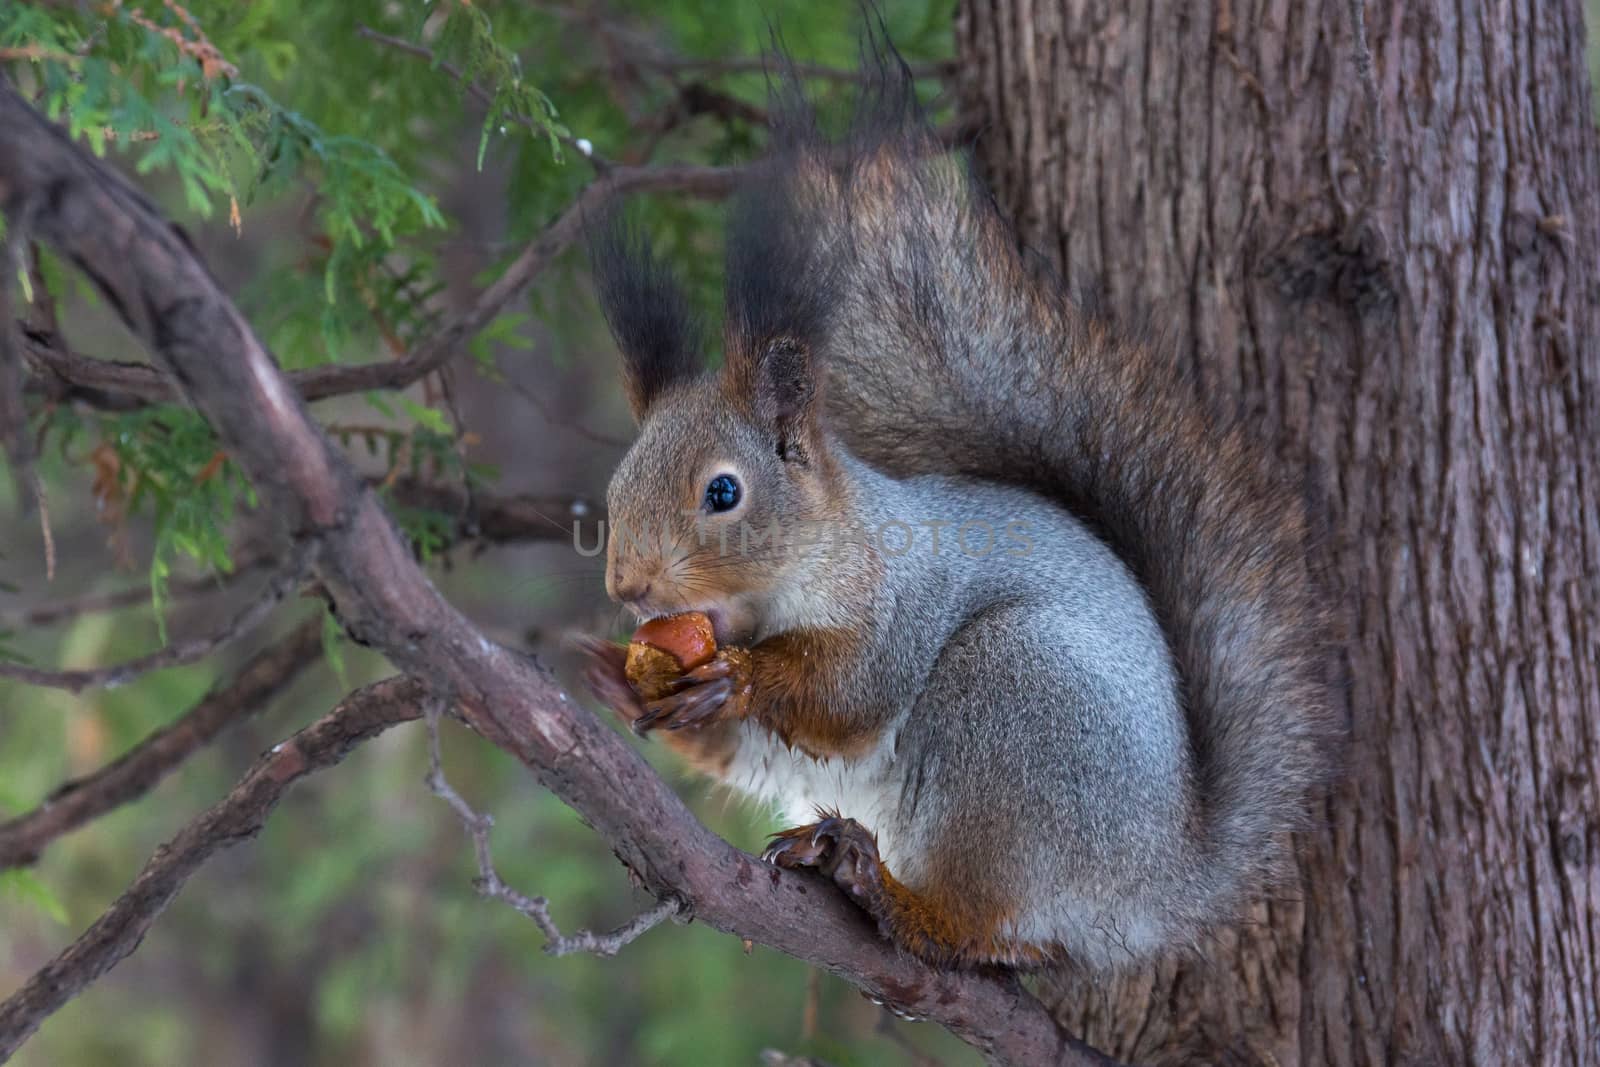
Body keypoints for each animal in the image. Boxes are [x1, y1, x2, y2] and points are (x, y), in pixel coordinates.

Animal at [576, 37, 1337, 966]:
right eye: (616, 487)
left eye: (724, 491)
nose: (628, 589)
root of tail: (1155, 879)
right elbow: (755, 744)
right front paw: (618, 675)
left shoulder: (897, 600)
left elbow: (845, 699)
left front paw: (741, 674)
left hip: (1015, 705)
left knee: (982, 918)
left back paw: (895, 895)